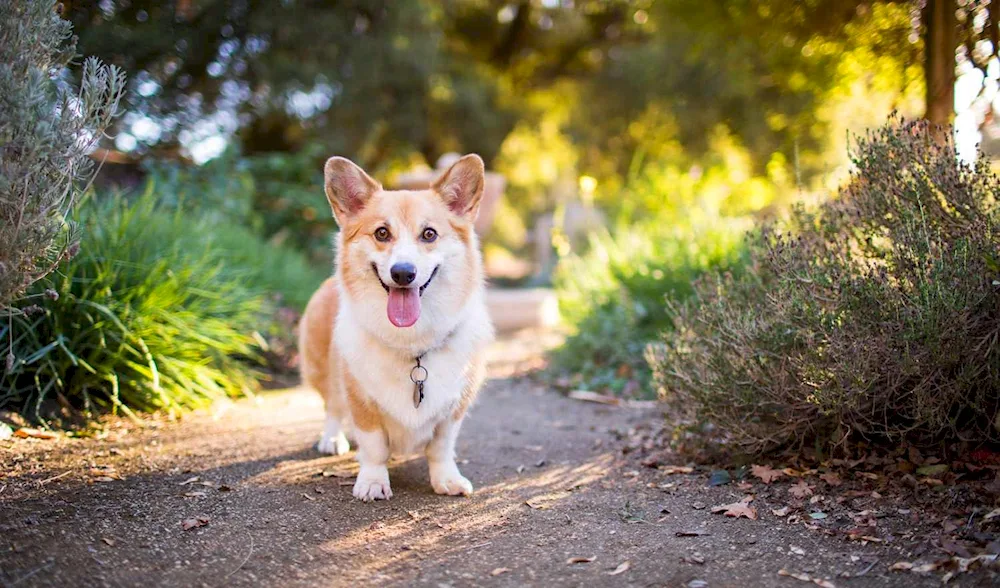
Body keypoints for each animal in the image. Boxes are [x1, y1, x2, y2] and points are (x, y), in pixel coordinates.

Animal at [298, 153, 498, 500]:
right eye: (381, 233)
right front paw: (372, 482)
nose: (403, 273)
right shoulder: (361, 398)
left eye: (429, 234)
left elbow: (441, 447)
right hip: (322, 369)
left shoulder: (454, 407)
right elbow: (374, 446)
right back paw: (332, 440)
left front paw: (447, 479)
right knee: (332, 406)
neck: (412, 343)